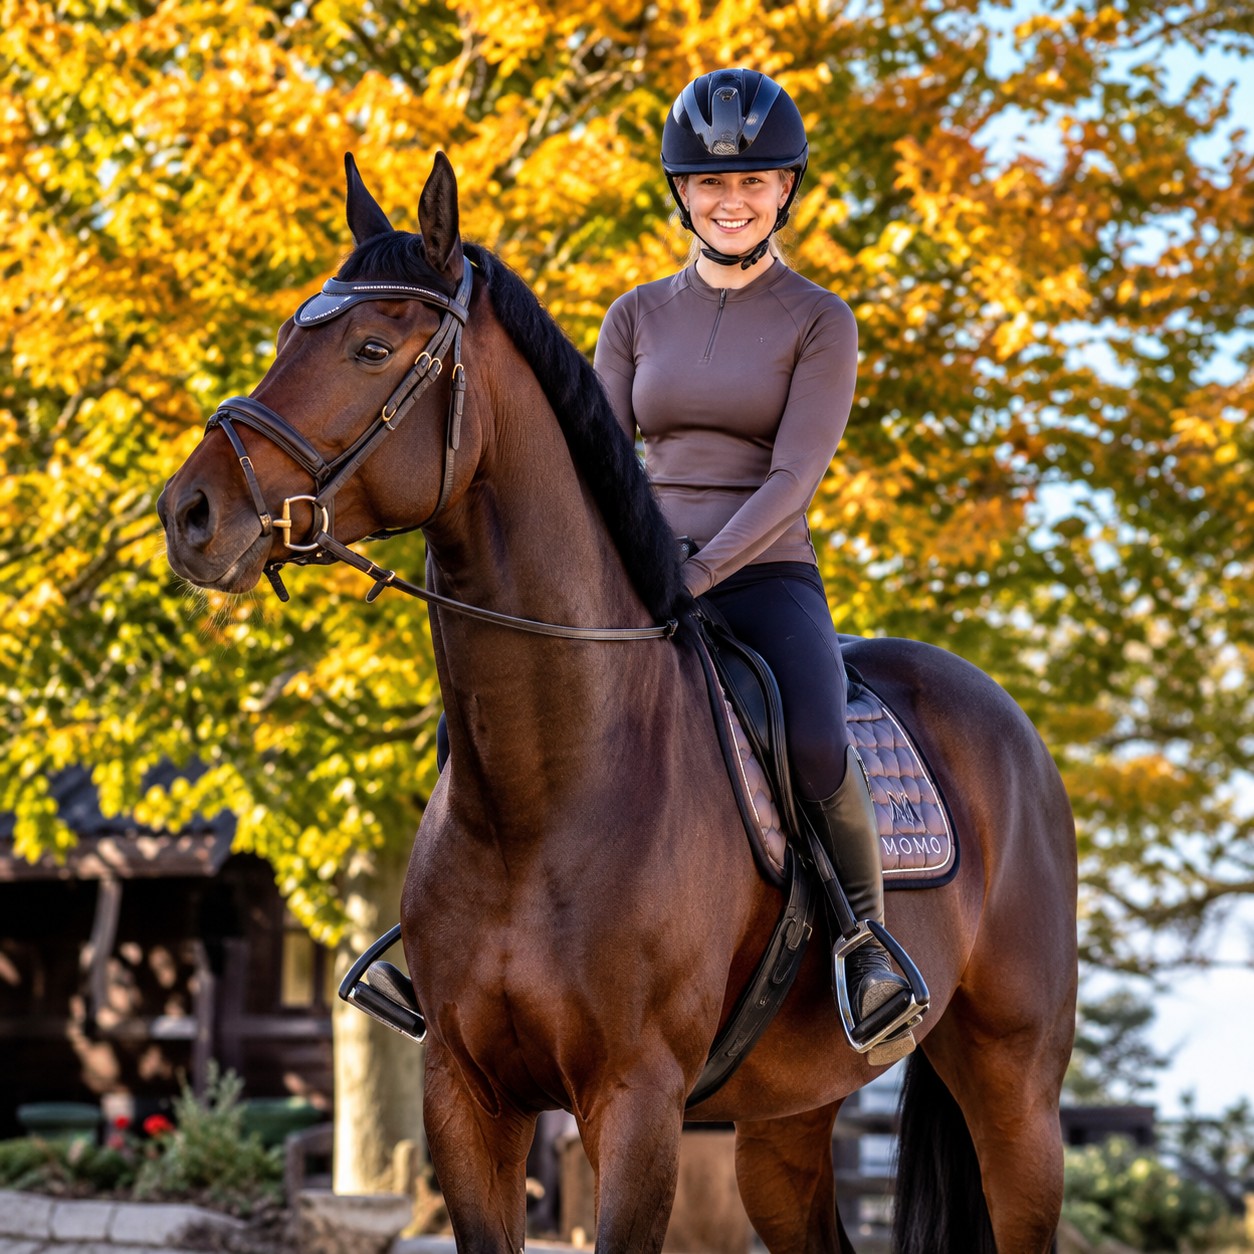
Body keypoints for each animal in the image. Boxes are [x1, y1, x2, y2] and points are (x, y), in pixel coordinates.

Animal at [158, 152, 1078, 1253]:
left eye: (372, 347)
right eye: (289, 336)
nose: (191, 513)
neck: (548, 789)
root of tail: (1009, 725)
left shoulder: (636, 1107)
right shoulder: (466, 1098)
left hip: (1013, 1093)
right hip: (785, 1121)